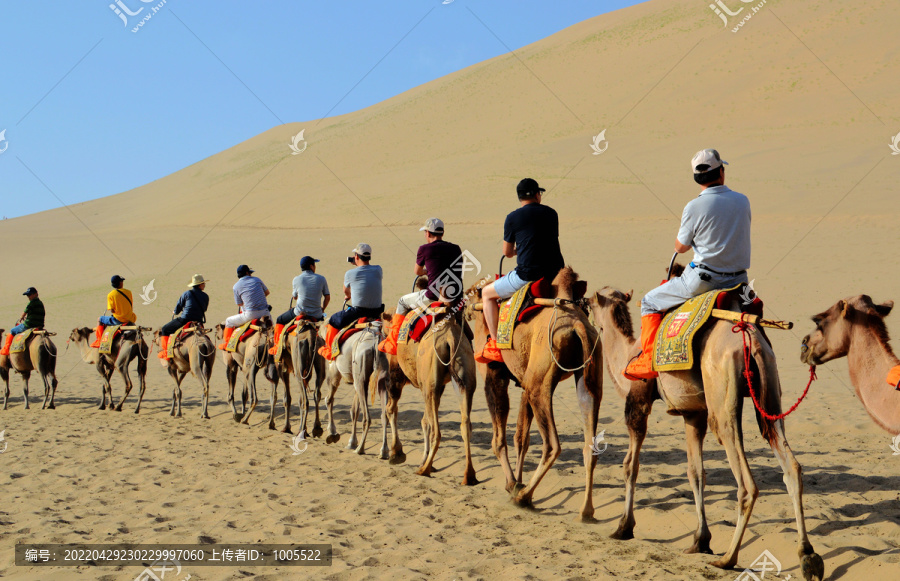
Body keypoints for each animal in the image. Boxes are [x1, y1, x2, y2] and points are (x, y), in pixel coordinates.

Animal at [324, 320, 394, 456]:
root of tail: (376, 341)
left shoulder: (334, 369)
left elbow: (329, 399)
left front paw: (332, 433)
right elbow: (354, 411)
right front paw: (351, 442)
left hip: (360, 372)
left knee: (367, 417)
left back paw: (360, 449)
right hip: (381, 376)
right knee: (384, 415)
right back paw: (383, 451)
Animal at [390, 302, 482, 482]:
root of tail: (449, 338)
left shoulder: (397, 373)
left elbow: (393, 410)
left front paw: (396, 453)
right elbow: (425, 420)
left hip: (429, 380)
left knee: (436, 430)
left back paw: (424, 470)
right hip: (465, 370)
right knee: (465, 425)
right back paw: (469, 476)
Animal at [464, 268, 604, 520]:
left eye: (473, 291)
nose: (466, 307)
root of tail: (577, 327)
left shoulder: (494, 377)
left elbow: (499, 439)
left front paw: (512, 484)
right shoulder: (523, 382)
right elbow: (521, 437)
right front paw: (516, 481)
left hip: (541, 381)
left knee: (552, 445)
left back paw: (523, 497)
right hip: (588, 375)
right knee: (591, 443)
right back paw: (586, 511)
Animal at [592, 288, 824, 576]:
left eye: (589, 302)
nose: (580, 303)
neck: (626, 353)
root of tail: (751, 339)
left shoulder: (638, 402)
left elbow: (630, 466)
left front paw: (624, 527)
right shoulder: (693, 414)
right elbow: (696, 472)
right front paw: (700, 540)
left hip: (721, 397)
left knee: (746, 482)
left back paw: (727, 559)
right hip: (770, 387)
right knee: (790, 465)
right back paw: (807, 555)